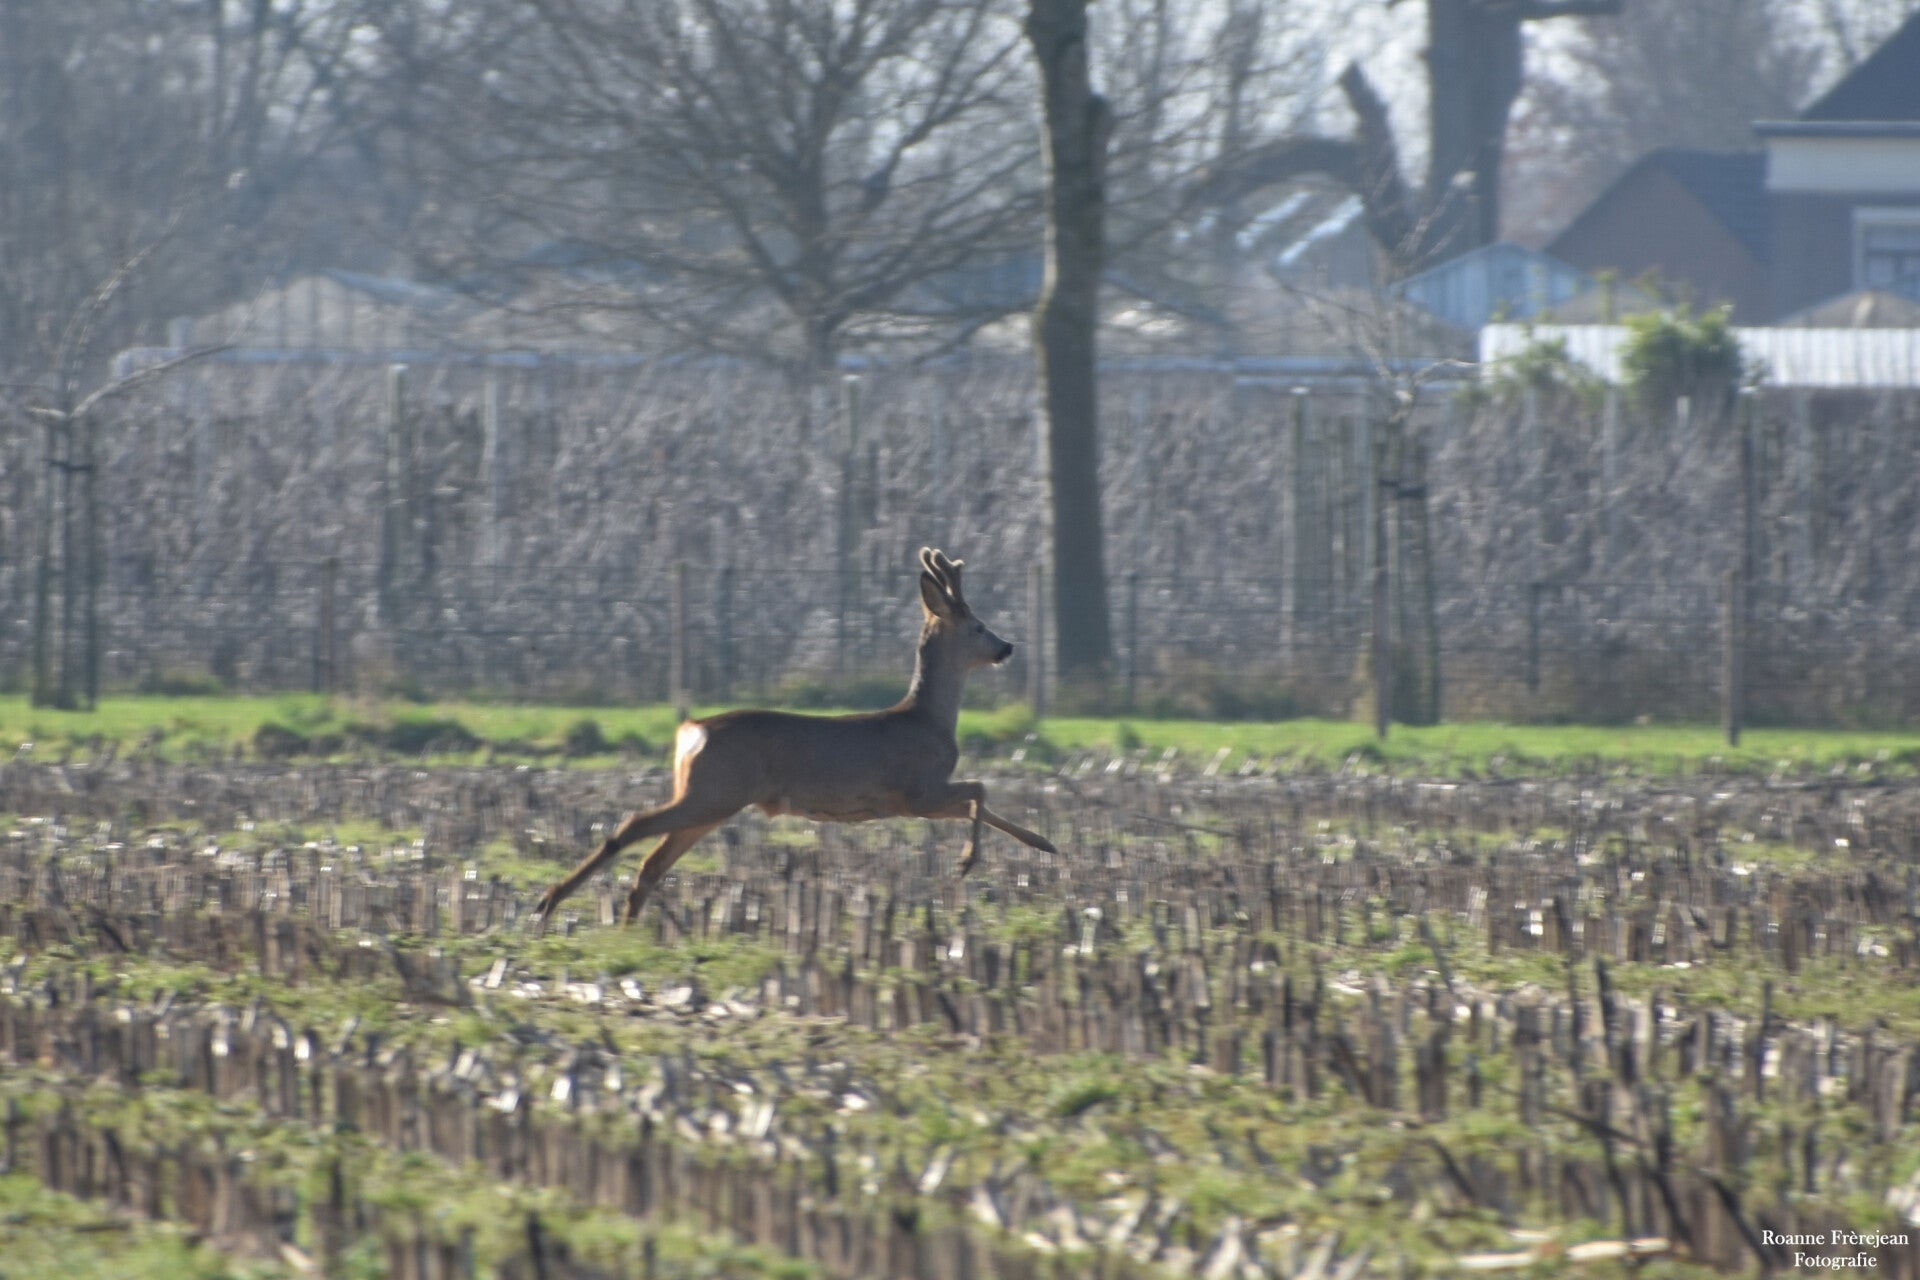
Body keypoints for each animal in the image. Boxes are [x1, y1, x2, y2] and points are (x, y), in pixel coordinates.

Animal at [532, 548, 1058, 926]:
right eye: (979, 626)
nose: (1007, 647)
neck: (929, 719)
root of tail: (690, 730)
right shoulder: (915, 789)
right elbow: (979, 791)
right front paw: (968, 862)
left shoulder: (910, 800)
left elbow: (982, 802)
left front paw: (1043, 845)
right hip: (714, 791)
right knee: (634, 826)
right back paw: (550, 902)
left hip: (710, 798)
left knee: (653, 862)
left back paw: (624, 927)